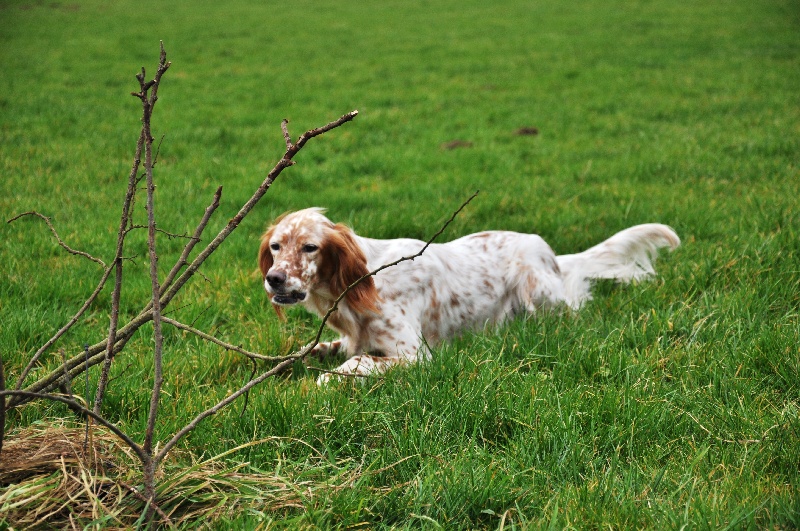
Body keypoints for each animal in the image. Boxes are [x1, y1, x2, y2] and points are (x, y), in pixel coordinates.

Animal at [260, 209, 680, 386]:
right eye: (276, 247)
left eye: (310, 247)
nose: (273, 279)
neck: (361, 285)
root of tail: (551, 255)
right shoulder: (350, 338)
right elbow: (314, 351)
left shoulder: (416, 356)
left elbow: (355, 363)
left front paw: (323, 382)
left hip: (538, 290)